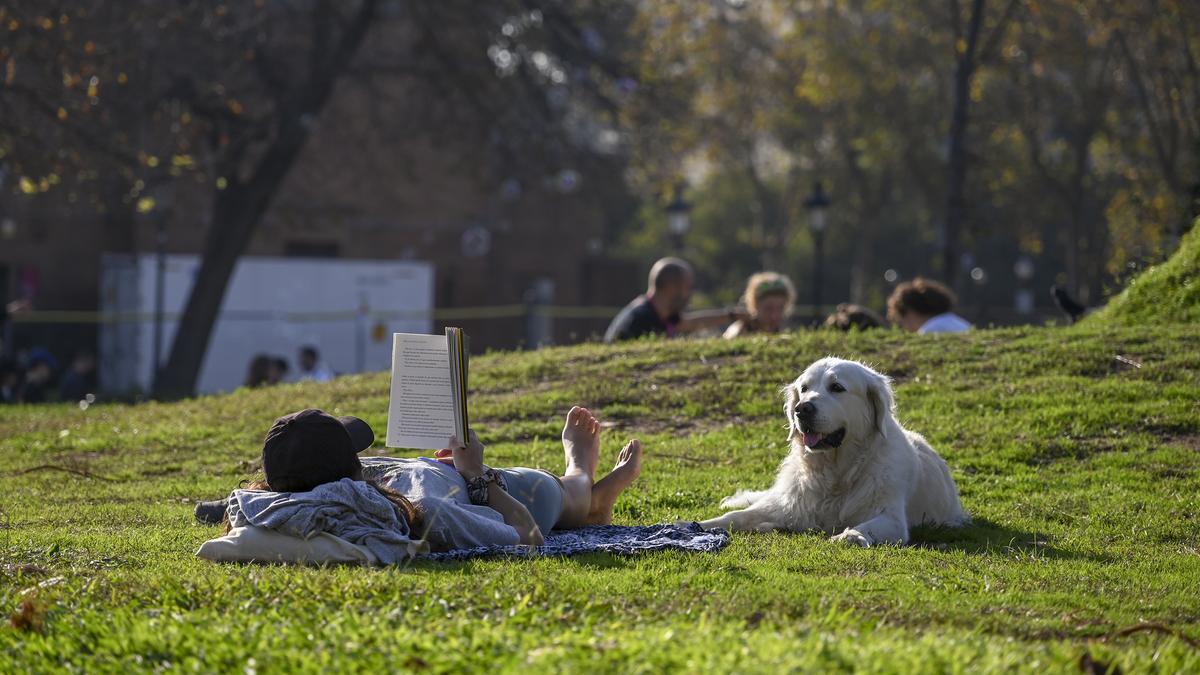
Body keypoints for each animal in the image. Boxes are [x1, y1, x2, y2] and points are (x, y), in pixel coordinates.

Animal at [700, 355, 964, 542]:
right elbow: (735, 517)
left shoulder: (892, 517)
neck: (836, 473)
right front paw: (696, 526)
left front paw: (851, 536)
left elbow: (867, 526)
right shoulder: (789, 504)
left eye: (837, 387)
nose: (802, 409)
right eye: (804, 388)